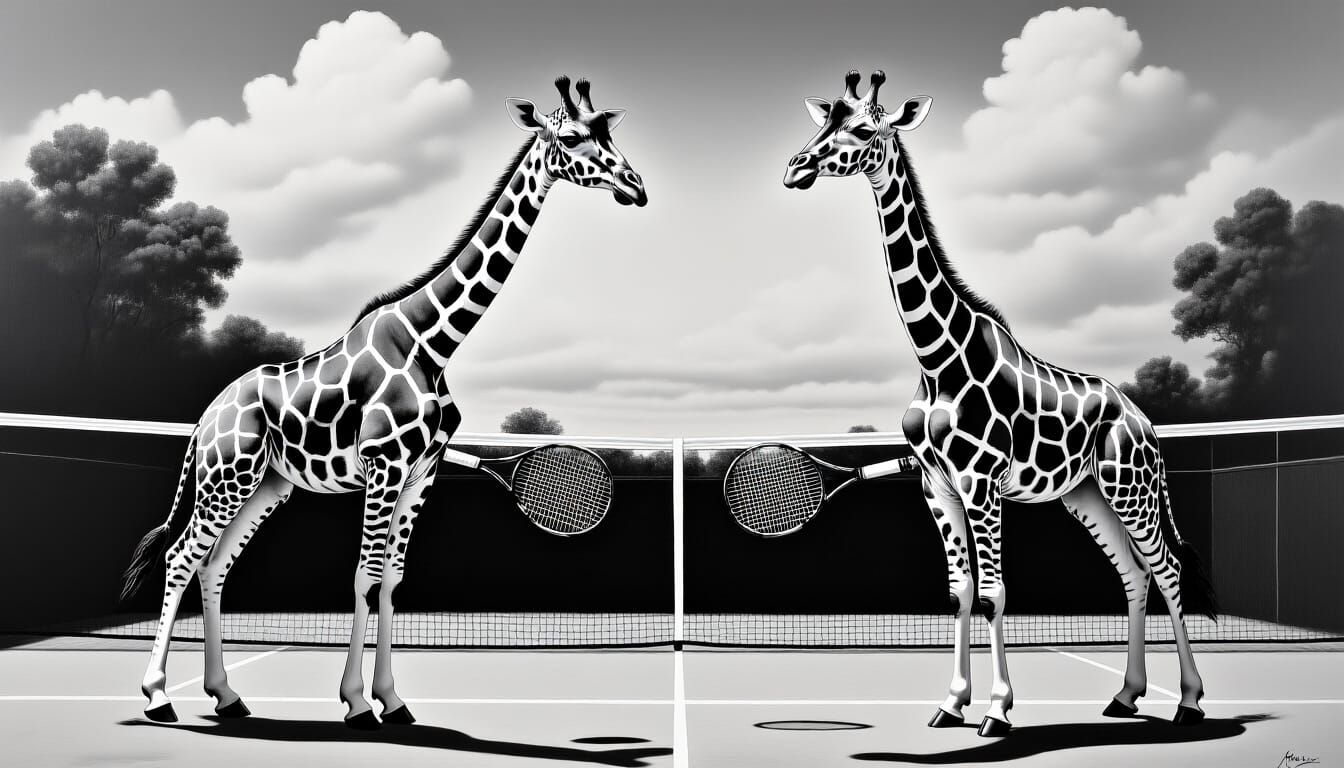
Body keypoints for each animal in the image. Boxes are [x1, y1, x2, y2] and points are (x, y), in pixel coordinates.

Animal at [120, 76, 647, 728]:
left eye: (609, 133)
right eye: (572, 138)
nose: (637, 188)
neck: (435, 340)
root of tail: (205, 417)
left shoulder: (423, 472)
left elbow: (392, 578)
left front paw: (391, 699)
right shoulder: (384, 466)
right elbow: (364, 576)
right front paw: (355, 702)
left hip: (267, 485)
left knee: (215, 566)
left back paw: (226, 694)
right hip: (226, 477)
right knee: (181, 559)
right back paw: (158, 695)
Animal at [784, 70, 1213, 735]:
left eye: (865, 130)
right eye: (824, 121)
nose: (796, 168)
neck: (935, 355)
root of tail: (1145, 421)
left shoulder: (982, 484)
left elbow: (993, 594)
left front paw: (996, 710)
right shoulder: (936, 486)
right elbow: (960, 592)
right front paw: (951, 702)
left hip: (1131, 489)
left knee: (1165, 571)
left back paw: (1190, 702)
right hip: (1085, 495)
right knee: (1133, 574)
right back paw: (1126, 694)